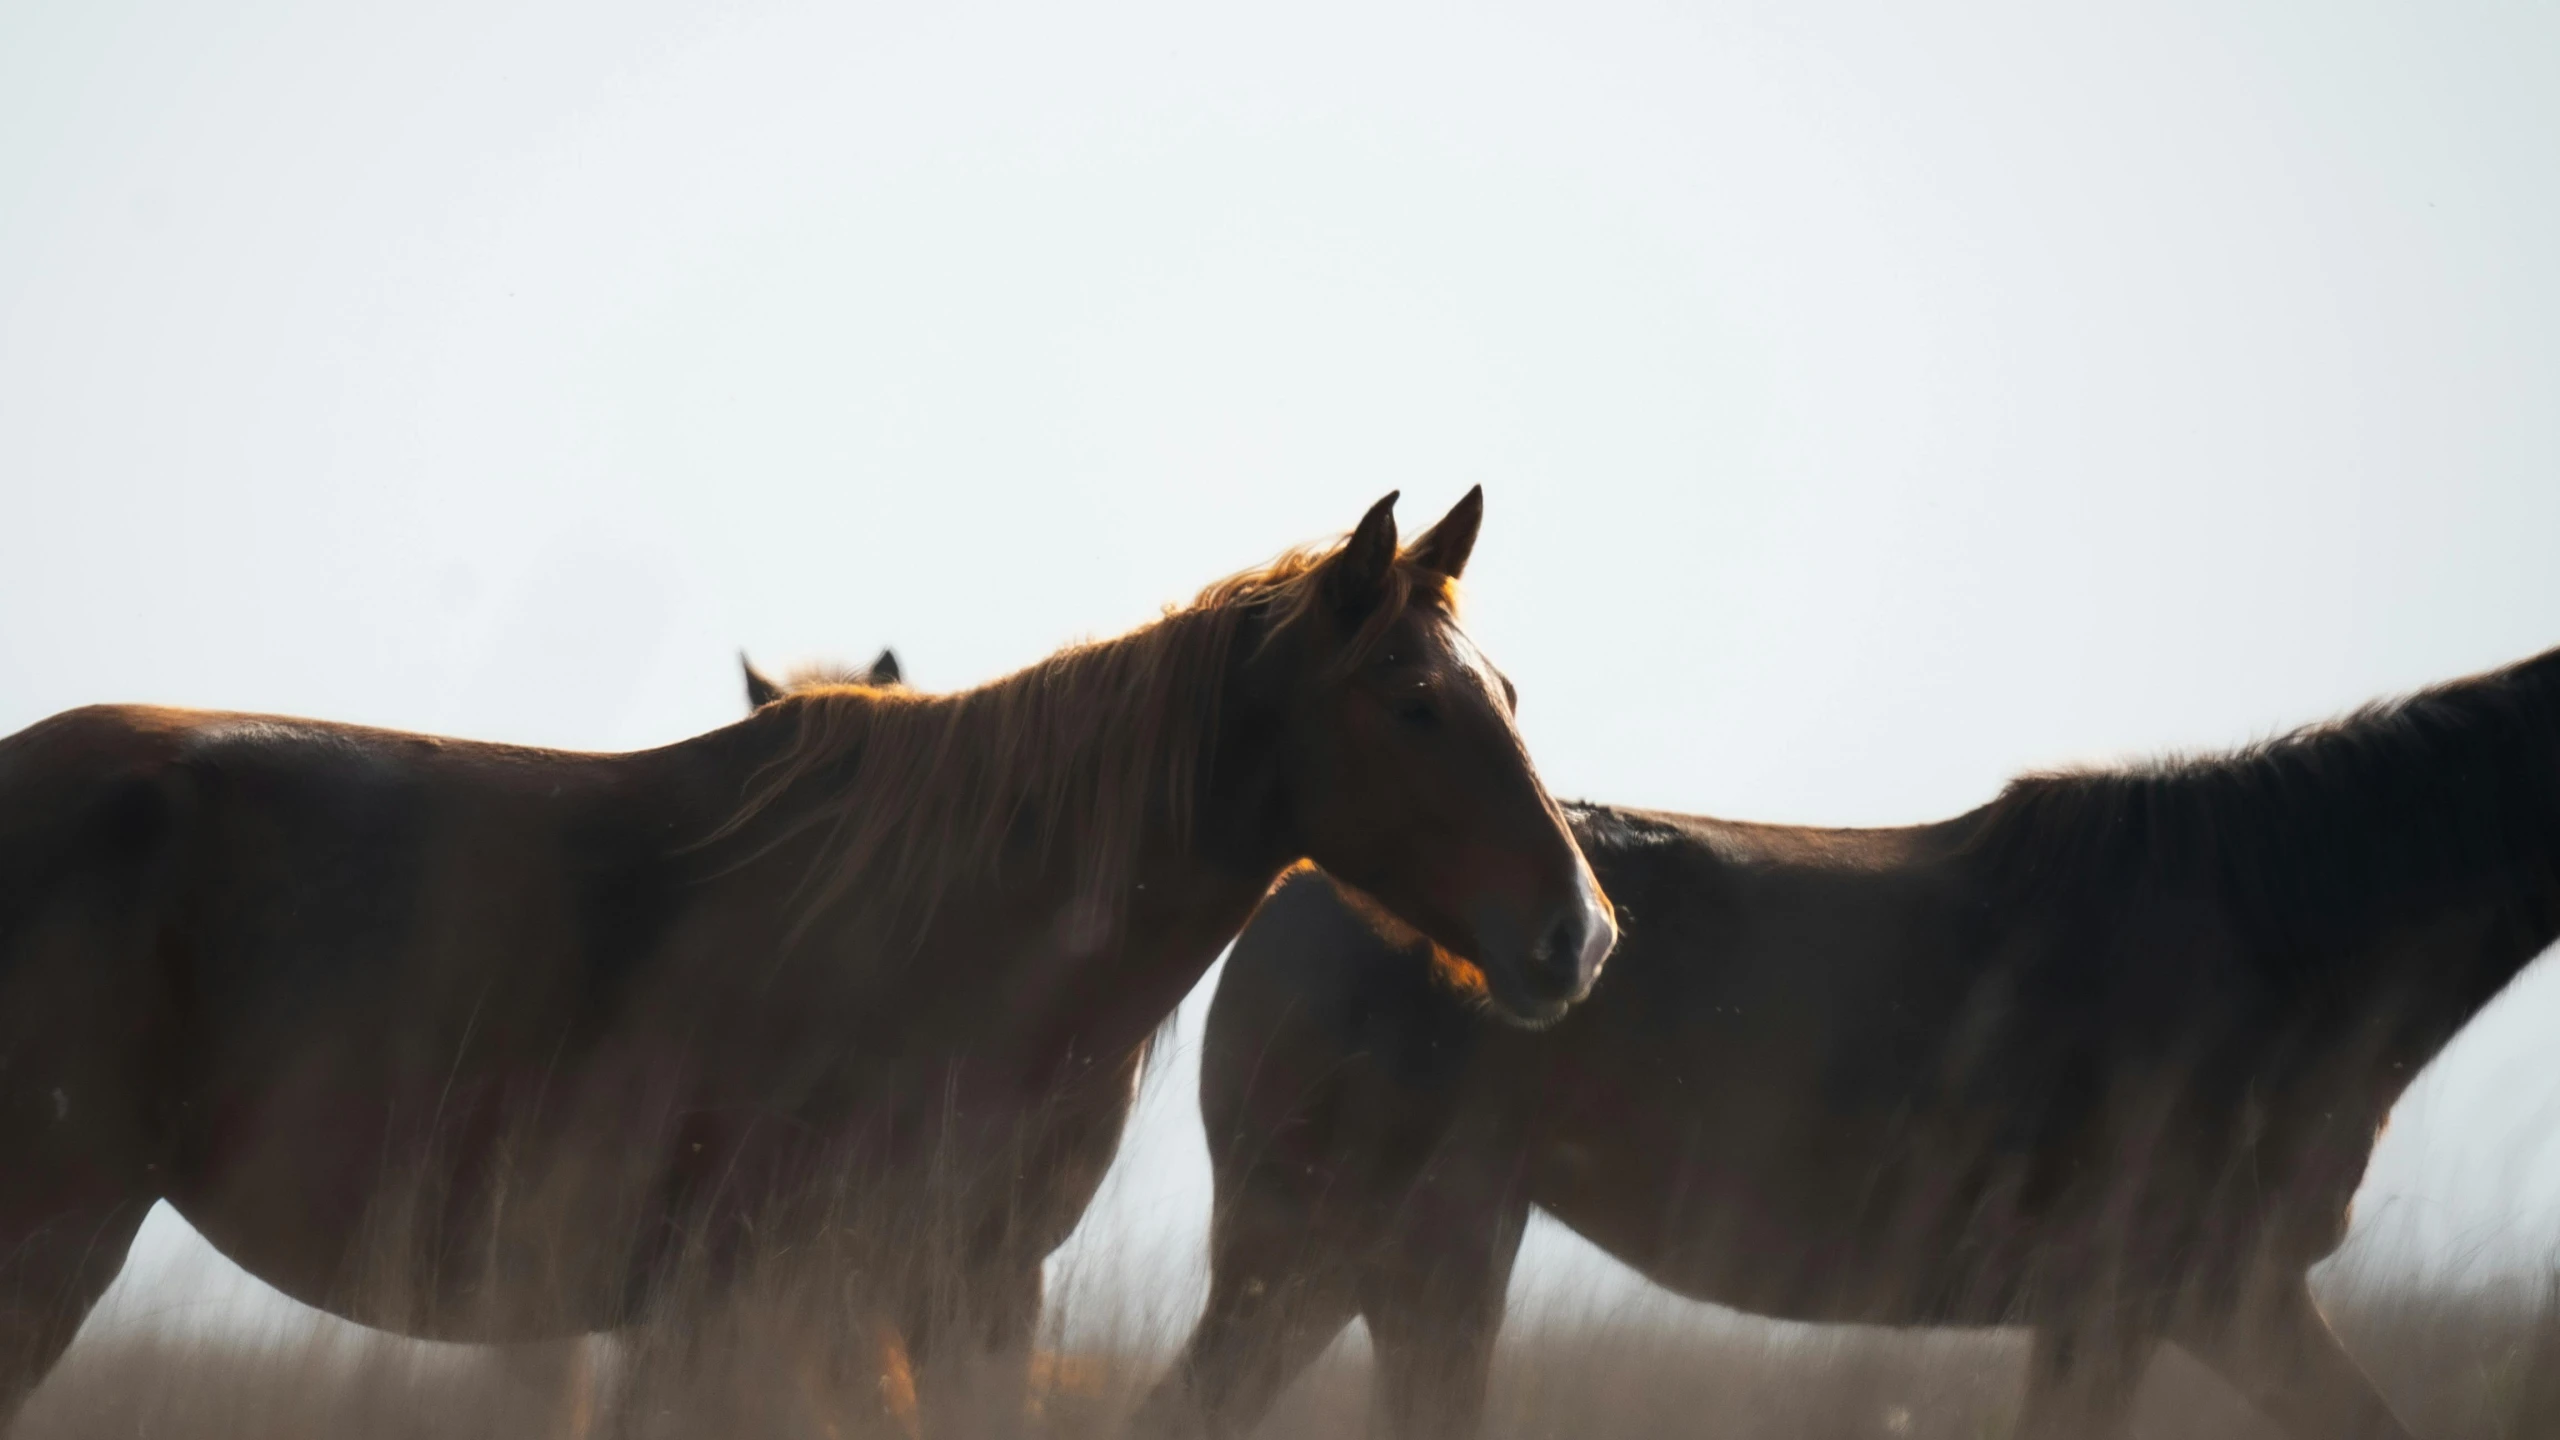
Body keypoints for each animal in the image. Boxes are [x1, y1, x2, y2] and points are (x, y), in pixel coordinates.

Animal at [0, 484, 1607, 1424]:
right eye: (1410, 701)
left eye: (1509, 693)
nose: (1575, 932)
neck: (944, 934)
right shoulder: (737, 1304)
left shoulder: (969, 1292)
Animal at [1146, 640, 2560, 1434]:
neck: (2279, 931)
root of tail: (1294, 892)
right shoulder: (2167, 1298)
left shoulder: (2197, 1305)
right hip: (1391, 1261)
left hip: (1349, 1268)